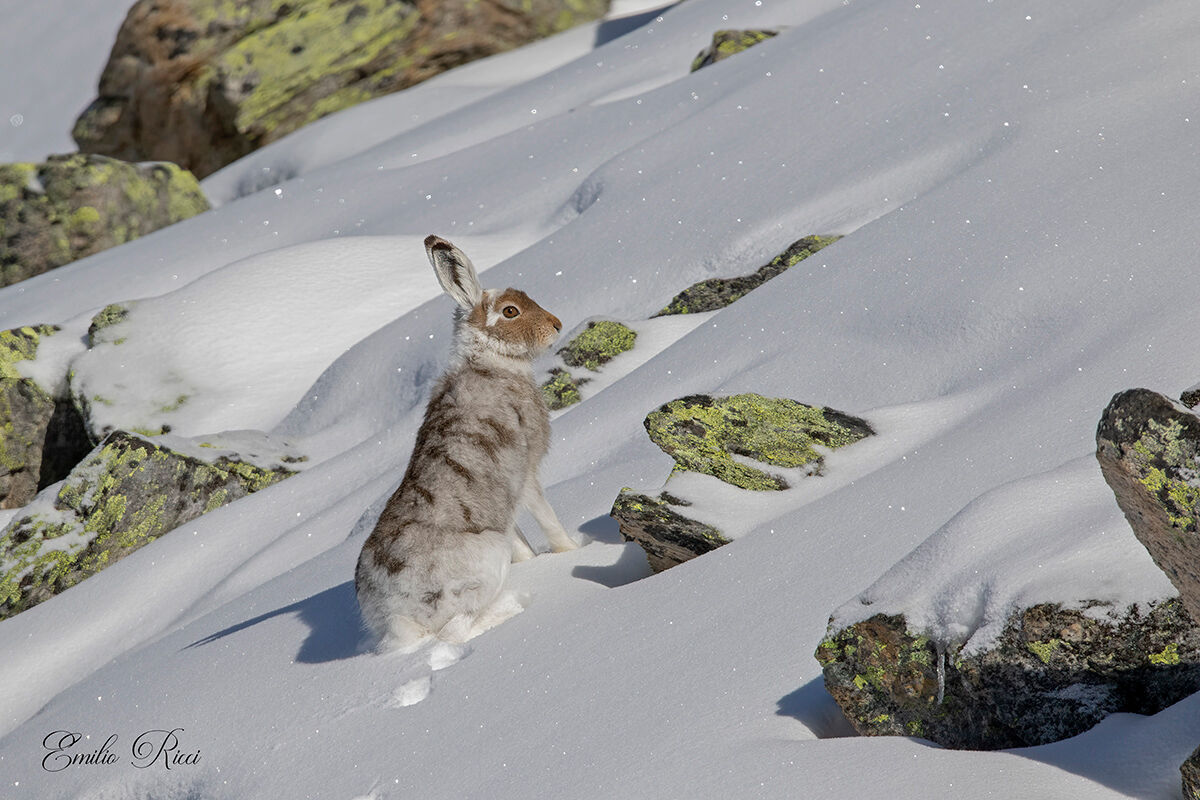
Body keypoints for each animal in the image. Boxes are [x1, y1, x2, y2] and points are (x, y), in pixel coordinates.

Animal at [355, 235, 579, 653]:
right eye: (510, 311)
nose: (556, 325)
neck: (487, 359)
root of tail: (398, 611)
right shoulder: (524, 472)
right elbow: (547, 517)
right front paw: (572, 551)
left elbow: (521, 539)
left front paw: (534, 559)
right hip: (487, 559)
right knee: (455, 630)